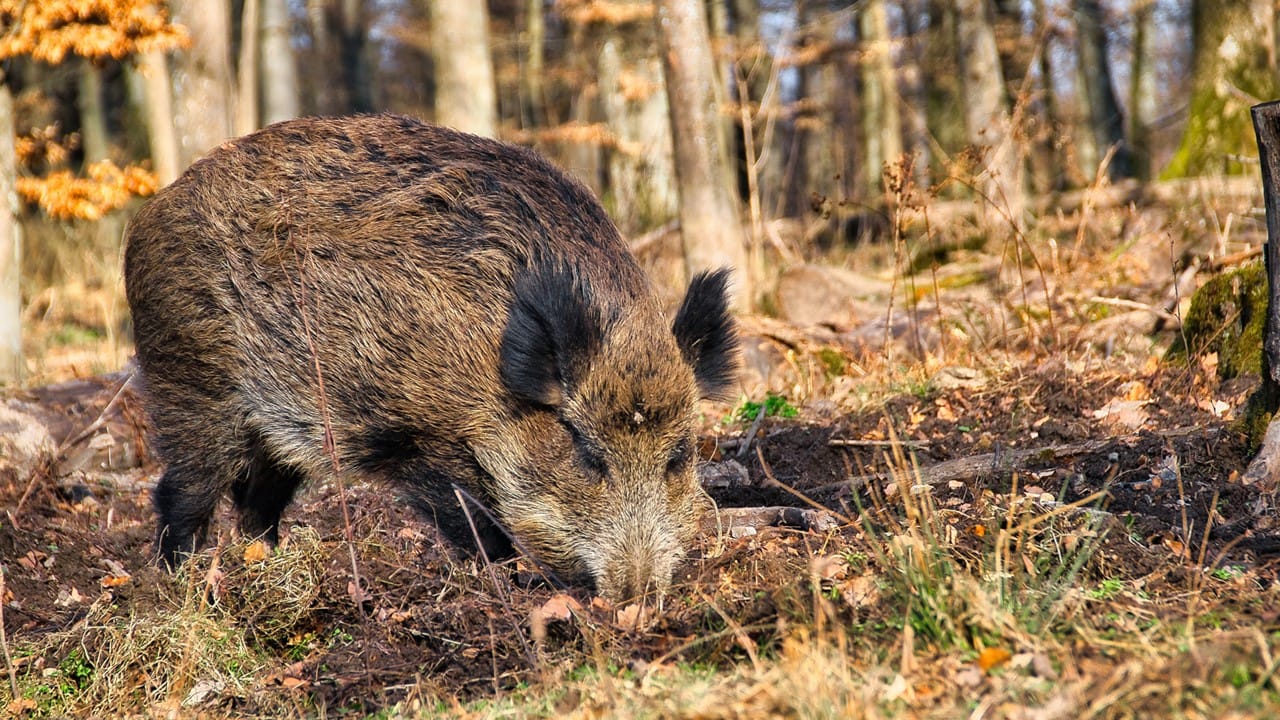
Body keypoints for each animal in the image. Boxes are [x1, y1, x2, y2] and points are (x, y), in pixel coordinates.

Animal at [123, 114, 737, 602]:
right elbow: (478, 524)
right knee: (183, 489)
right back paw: (177, 582)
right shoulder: (425, 434)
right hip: (191, 382)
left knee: (255, 502)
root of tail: (151, 214)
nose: (638, 595)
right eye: (585, 453)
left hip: (279, 428)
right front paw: (503, 583)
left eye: (679, 455)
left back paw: (266, 566)